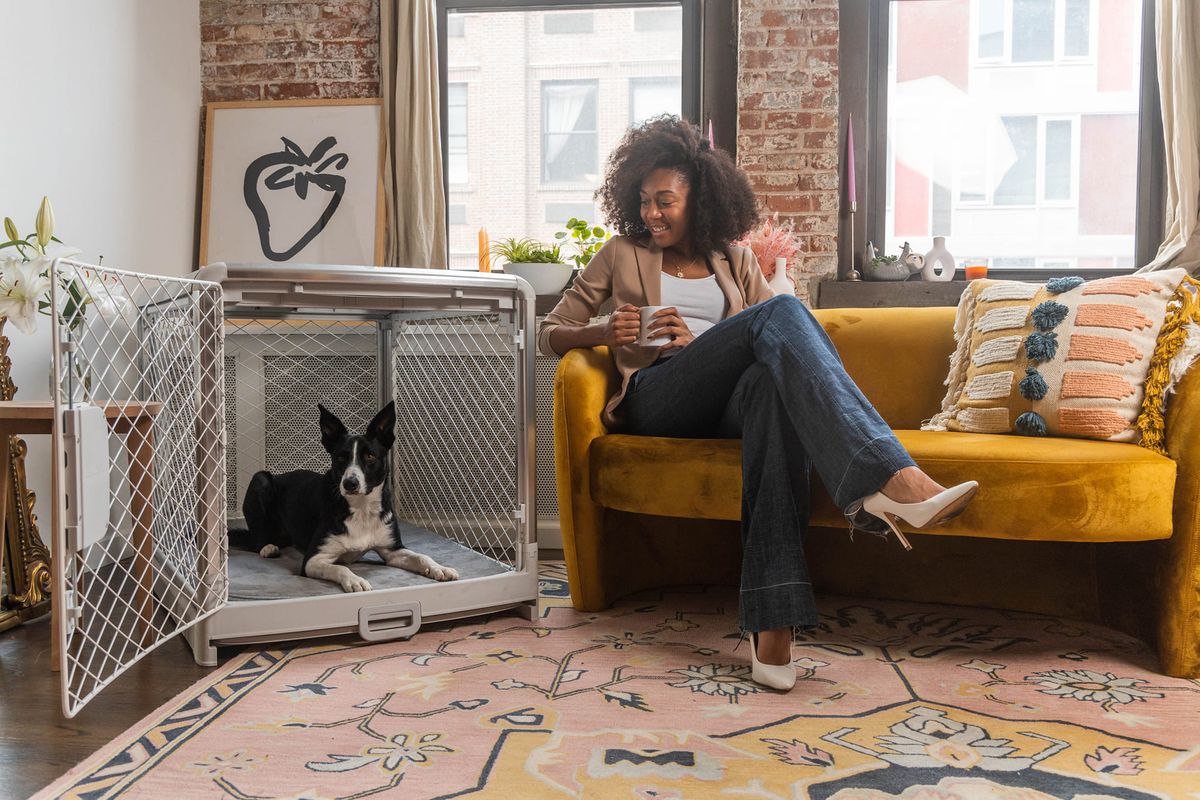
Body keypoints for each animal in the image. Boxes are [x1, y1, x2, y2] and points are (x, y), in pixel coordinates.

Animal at [230, 402, 458, 592]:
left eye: (370, 456)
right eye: (340, 457)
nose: (350, 483)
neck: (362, 508)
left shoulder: (392, 549)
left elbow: (422, 556)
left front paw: (440, 568)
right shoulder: (313, 559)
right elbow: (340, 568)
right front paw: (355, 580)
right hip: (261, 480)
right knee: (255, 539)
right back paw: (267, 547)